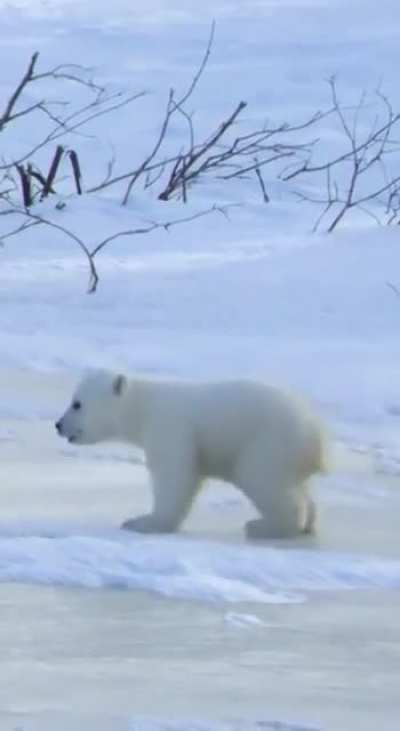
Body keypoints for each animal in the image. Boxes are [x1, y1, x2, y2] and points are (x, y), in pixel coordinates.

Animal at [55, 370, 326, 539]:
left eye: (77, 404)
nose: (58, 425)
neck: (143, 407)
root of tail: (316, 436)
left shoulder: (170, 428)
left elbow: (175, 477)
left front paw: (142, 522)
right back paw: (307, 523)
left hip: (268, 442)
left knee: (261, 479)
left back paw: (264, 526)